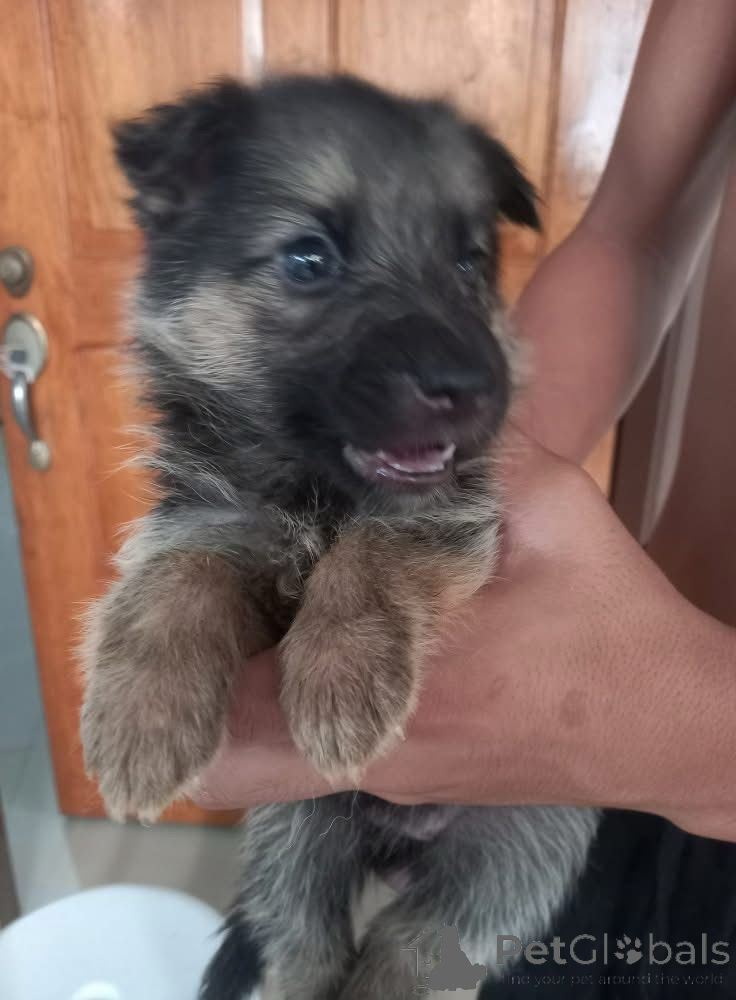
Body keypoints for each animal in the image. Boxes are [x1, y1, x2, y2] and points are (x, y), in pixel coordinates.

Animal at [80, 75, 598, 999]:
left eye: (469, 264)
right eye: (309, 259)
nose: (471, 385)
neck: (316, 490)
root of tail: (400, 845)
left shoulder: (451, 512)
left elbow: (372, 555)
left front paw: (344, 679)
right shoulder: (207, 517)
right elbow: (175, 580)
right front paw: (140, 720)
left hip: (512, 850)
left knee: (410, 950)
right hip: (295, 838)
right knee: (305, 945)